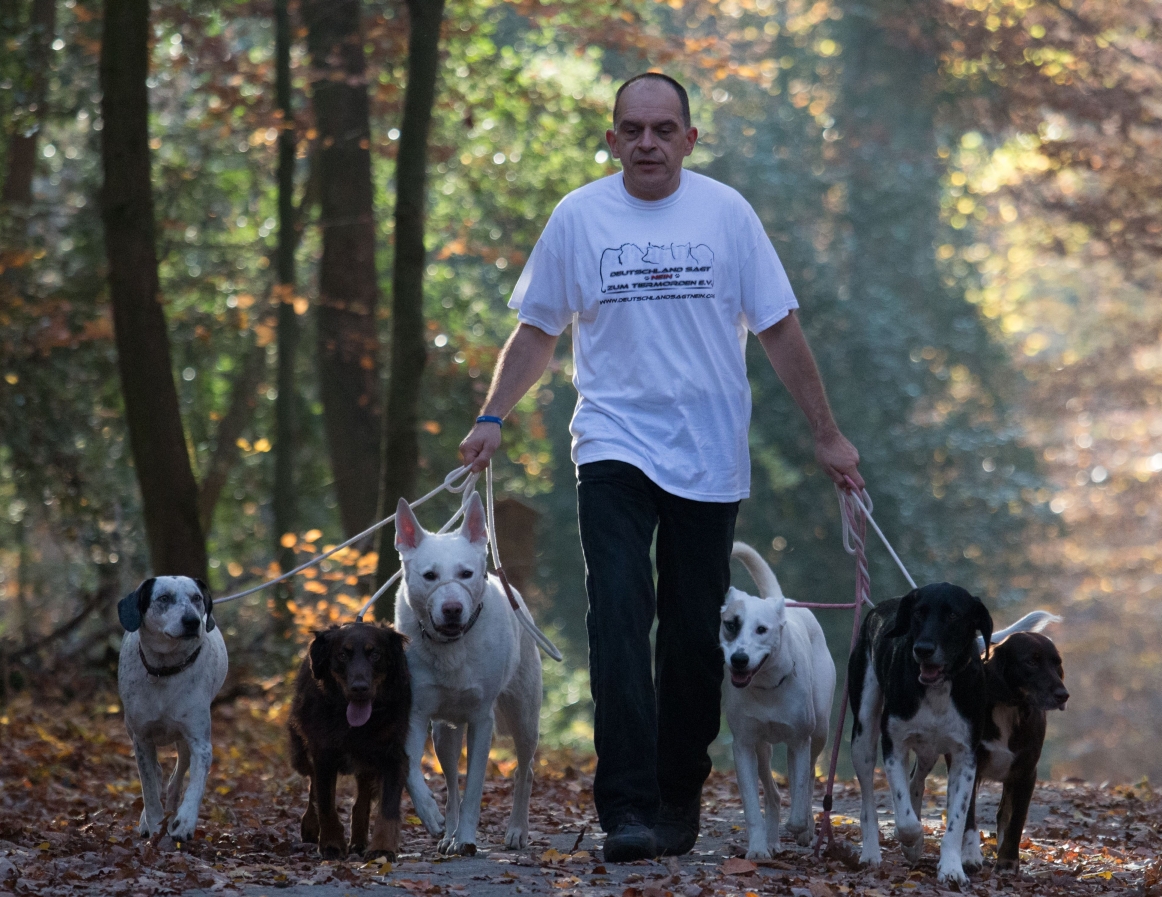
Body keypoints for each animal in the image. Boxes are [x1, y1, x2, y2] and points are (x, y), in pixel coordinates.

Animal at [287, 618, 411, 859]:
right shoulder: (324, 754)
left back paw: (360, 841)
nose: (359, 688)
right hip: (300, 755)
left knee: (361, 798)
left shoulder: (392, 756)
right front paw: (332, 844)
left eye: (375, 654)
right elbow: (325, 801)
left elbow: (388, 807)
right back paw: (311, 825)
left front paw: (382, 848)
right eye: (342, 655)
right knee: (312, 785)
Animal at [392, 497, 541, 855]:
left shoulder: (480, 720)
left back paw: (517, 831)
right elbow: (412, 768)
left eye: (466, 574)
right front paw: (431, 816)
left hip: (524, 717)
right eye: (430, 576)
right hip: (444, 734)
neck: (451, 647)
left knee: (525, 770)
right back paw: (447, 833)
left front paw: (468, 839)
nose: (452, 609)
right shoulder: (415, 714)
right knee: (451, 784)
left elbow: (474, 787)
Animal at [715, 543, 836, 859]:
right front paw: (757, 848)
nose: (739, 659)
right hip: (762, 749)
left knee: (808, 778)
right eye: (731, 625)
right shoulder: (744, 745)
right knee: (773, 793)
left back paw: (806, 827)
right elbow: (751, 806)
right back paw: (770, 841)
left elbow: (802, 787)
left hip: (820, 730)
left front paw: (800, 828)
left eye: (762, 629)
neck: (766, 687)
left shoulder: (799, 741)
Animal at [850, 585, 994, 887]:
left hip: (933, 750)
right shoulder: (893, 745)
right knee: (869, 801)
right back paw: (871, 852)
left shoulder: (965, 755)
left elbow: (956, 820)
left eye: (953, 615)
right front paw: (912, 842)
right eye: (918, 613)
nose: (923, 649)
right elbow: (905, 820)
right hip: (863, 734)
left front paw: (951, 868)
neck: (938, 689)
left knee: (917, 781)